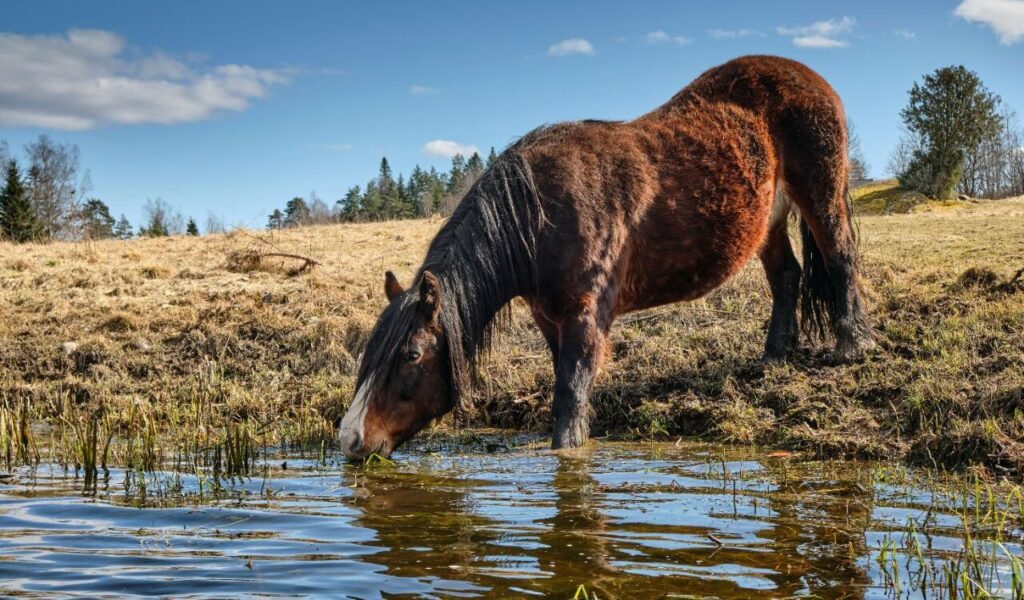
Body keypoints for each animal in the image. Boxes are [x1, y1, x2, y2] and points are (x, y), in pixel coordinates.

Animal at [338, 55, 873, 460]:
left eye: (411, 354)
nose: (351, 439)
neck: (538, 218)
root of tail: (811, 78)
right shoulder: (550, 320)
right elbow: (564, 384)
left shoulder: (586, 316)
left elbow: (571, 396)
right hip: (769, 220)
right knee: (786, 277)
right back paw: (773, 356)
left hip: (819, 194)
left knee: (841, 259)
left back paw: (850, 345)